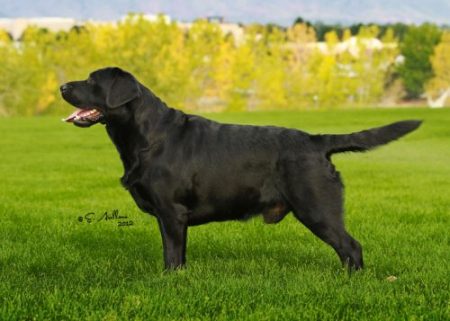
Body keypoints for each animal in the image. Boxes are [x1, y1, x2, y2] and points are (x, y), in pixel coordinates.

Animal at [60, 67, 422, 270]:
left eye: (92, 81)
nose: (62, 86)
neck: (147, 135)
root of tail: (317, 141)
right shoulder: (172, 217)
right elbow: (178, 256)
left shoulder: (172, 212)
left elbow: (172, 257)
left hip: (317, 207)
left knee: (351, 248)